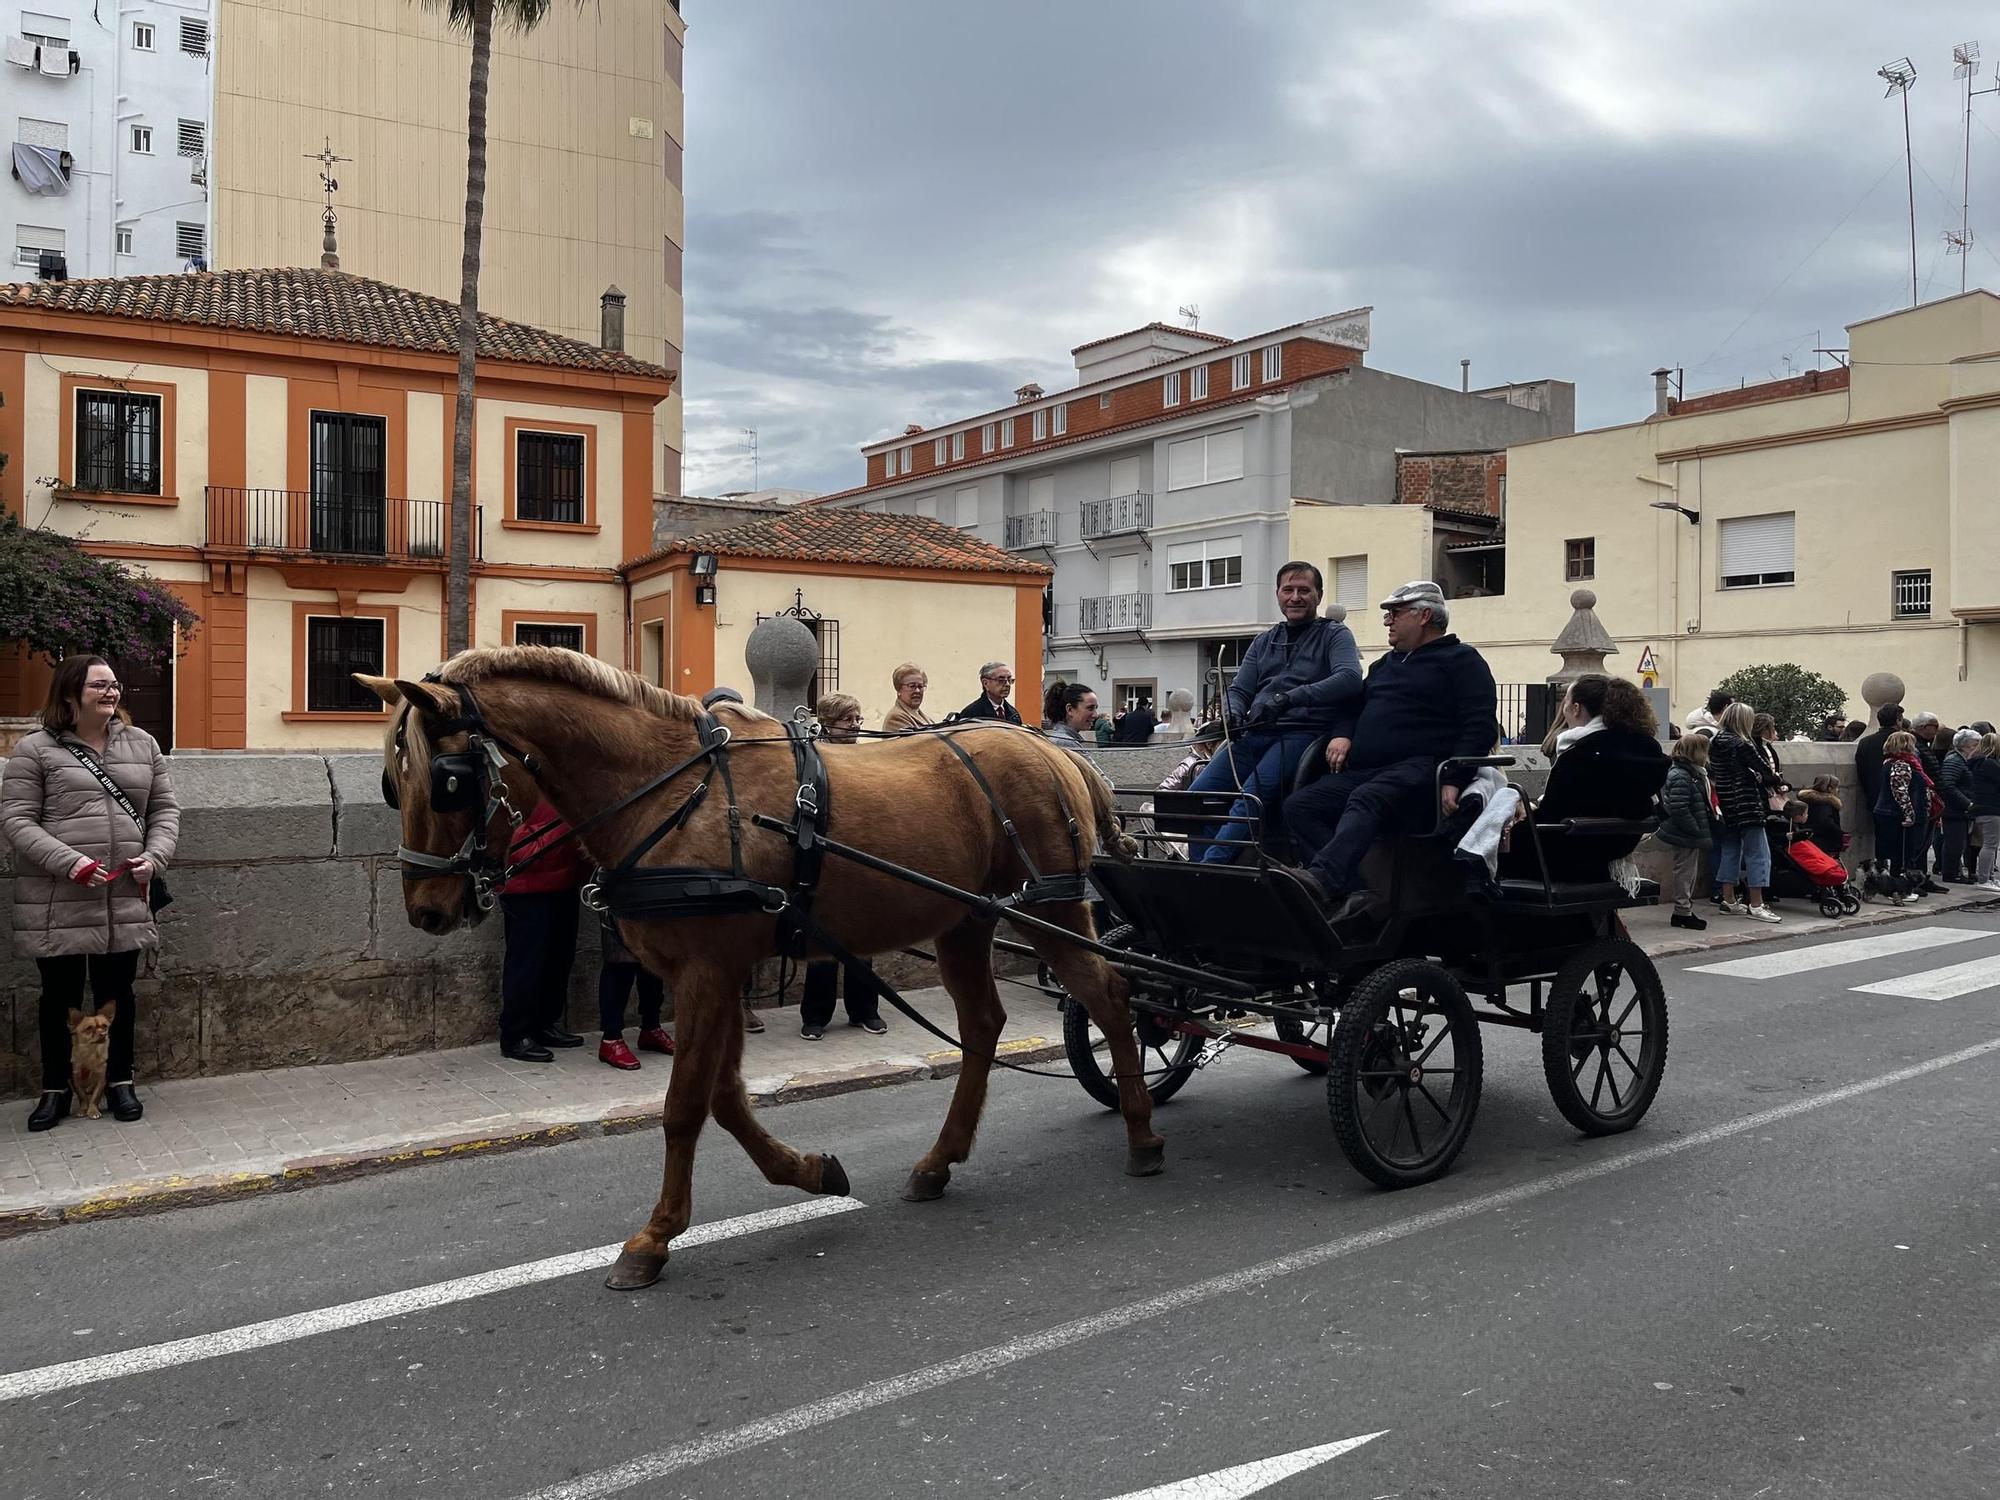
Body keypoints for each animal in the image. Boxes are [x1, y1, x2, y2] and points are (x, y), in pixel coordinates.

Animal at [368, 648, 1168, 1296]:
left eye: (447, 781)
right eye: (389, 783)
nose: (427, 909)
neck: (671, 793)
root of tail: (1052, 750)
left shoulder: (705, 971)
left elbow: (685, 1105)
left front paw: (654, 1238)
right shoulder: (716, 973)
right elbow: (723, 1099)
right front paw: (808, 1172)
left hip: (1049, 909)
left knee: (1109, 995)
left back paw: (1142, 1133)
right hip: (965, 921)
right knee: (984, 1025)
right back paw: (940, 1161)